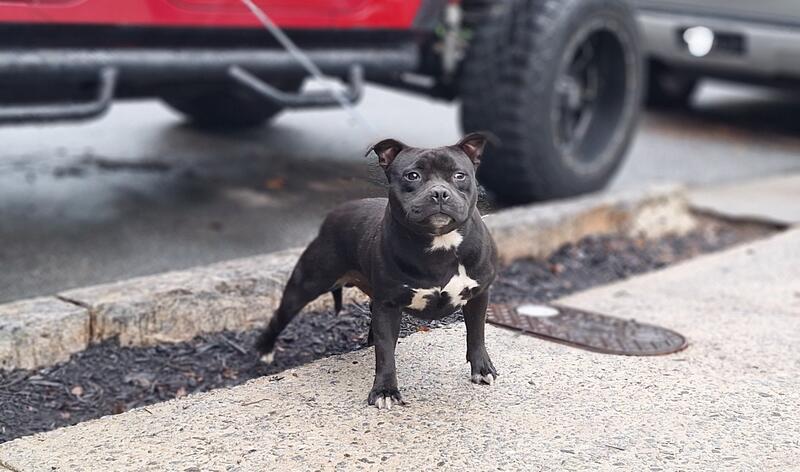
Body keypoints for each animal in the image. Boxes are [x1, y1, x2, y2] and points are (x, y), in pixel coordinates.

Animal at [256, 133, 498, 409]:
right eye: (412, 175)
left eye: (459, 175)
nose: (439, 192)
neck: (441, 243)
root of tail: (335, 214)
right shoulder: (389, 305)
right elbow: (384, 353)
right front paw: (385, 390)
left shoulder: (479, 295)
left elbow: (477, 333)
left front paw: (482, 368)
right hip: (307, 282)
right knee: (281, 313)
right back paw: (265, 350)